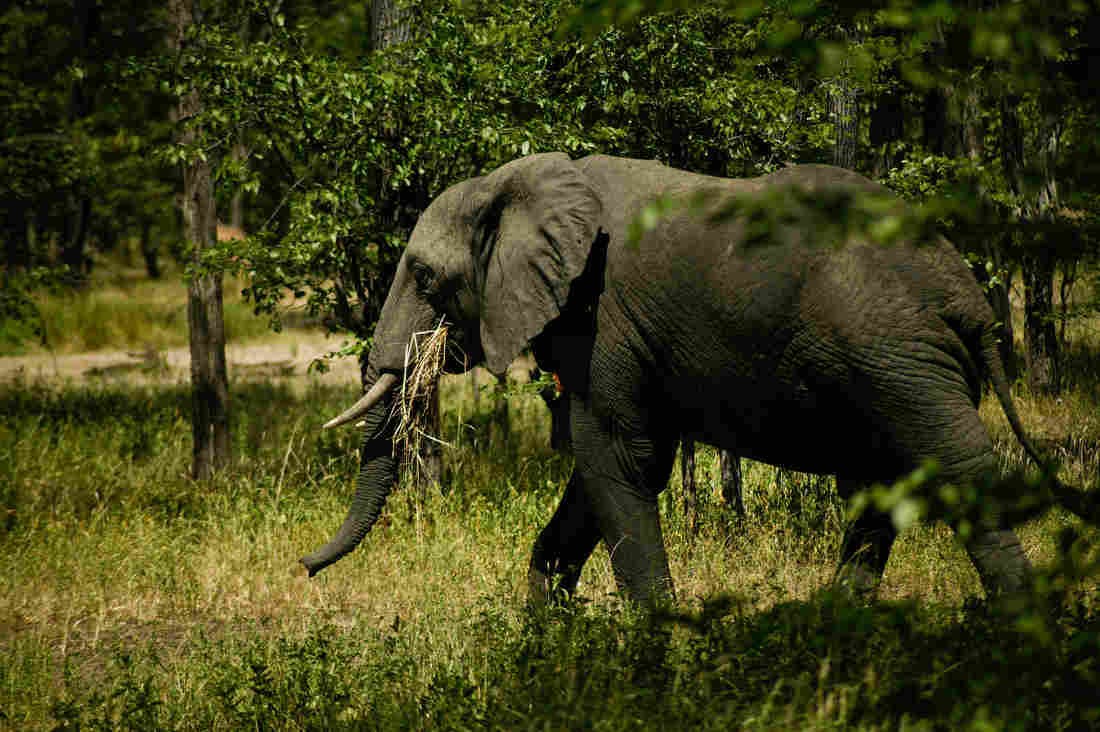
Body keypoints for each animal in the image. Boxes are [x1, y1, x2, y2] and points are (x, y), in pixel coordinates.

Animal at [303, 150, 1047, 603]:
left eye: (426, 278)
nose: (304, 567)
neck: (520, 180)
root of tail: (970, 298)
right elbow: (599, 471)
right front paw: (547, 645)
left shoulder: (602, 317)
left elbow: (619, 460)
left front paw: (653, 653)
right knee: (878, 491)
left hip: (902, 361)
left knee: (960, 472)